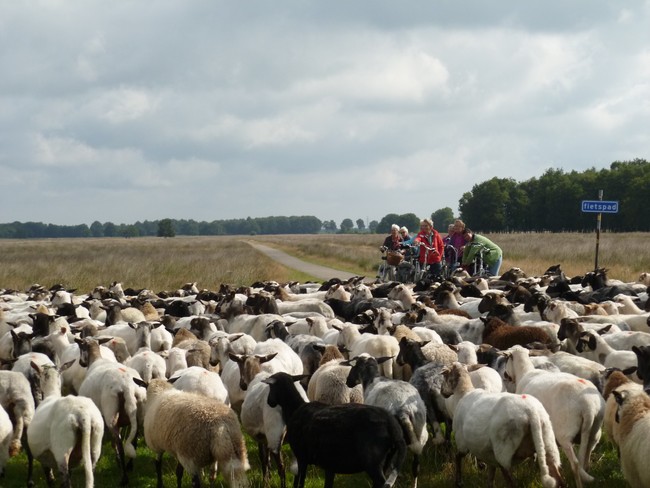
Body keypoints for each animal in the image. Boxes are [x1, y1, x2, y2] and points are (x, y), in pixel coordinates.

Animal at [27, 360, 104, 488]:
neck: (51, 394)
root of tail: (83, 414)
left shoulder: (44, 457)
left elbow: (49, 477)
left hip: (62, 448)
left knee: (66, 480)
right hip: (96, 443)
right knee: (91, 470)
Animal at [260, 372, 402, 486]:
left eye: (270, 387)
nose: (269, 402)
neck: (295, 408)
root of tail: (392, 425)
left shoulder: (302, 457)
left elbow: (299, 483)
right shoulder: (330, 464)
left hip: (373, 462)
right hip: (386, 460)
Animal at [502, 344, 604, 488]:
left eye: (506, 358)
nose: (505, 375)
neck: (524, 372)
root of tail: (588, 406)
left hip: (565, 433)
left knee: (576, 463)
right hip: (595, 431)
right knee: (586, 460)